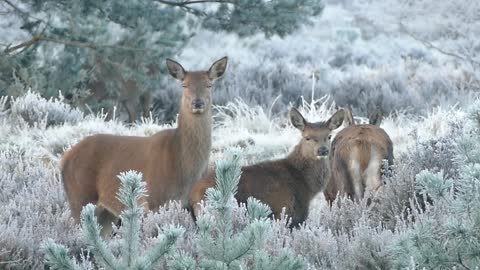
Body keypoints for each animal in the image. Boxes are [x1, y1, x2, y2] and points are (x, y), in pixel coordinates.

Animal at [61, 56, 229, 236]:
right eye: (184, 85)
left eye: (209, 85)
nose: (197, 103)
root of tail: (64, 158)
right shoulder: (154, 200)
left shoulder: (191, 203)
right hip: (79, 198)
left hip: (105, 213)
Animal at [188, 107, 344, 228]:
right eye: (307, 137)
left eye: (329, 136)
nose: (322, 150)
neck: (306, 186)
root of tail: (193, 193)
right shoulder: (287, 212)